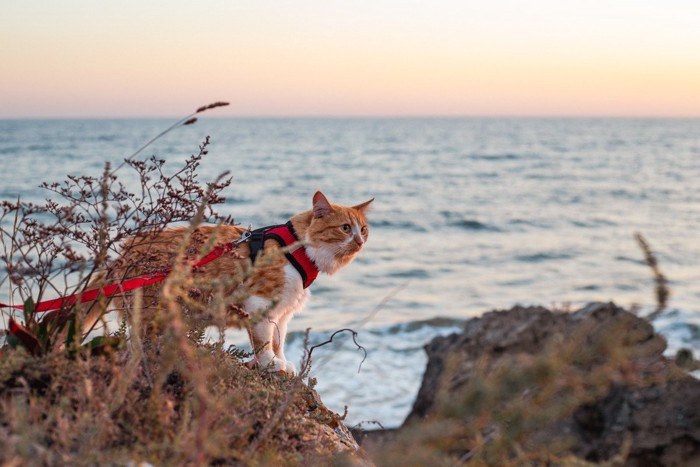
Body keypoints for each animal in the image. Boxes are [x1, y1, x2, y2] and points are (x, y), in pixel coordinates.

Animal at [80, 192, 372, 374]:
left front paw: (281, 361)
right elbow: (264, 341)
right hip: (152, 313)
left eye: (364, 229)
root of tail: (123, 256)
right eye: (345, 228)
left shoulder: (283, 311)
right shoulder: (260, 302)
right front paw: (270, 363)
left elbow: (279, 340)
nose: (360, 241)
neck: (298, 247)